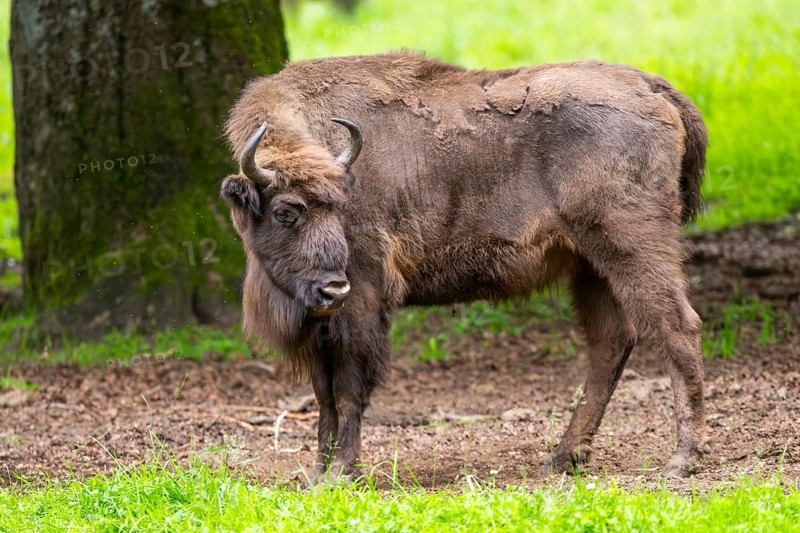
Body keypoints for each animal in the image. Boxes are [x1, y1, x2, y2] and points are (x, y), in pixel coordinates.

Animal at [221, 52, 709, 480]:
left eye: (339, 206)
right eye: (286, 211)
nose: (331, 290)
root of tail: (648, 86)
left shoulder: (361, 301)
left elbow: (348, 389)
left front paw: (342, 473)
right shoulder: (322, 325)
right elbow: (324, 395)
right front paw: (316, 475)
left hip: (632, 245)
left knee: (676, 326)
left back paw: (682, 460)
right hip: (589, 265)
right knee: (610, 342)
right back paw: (561, 459)